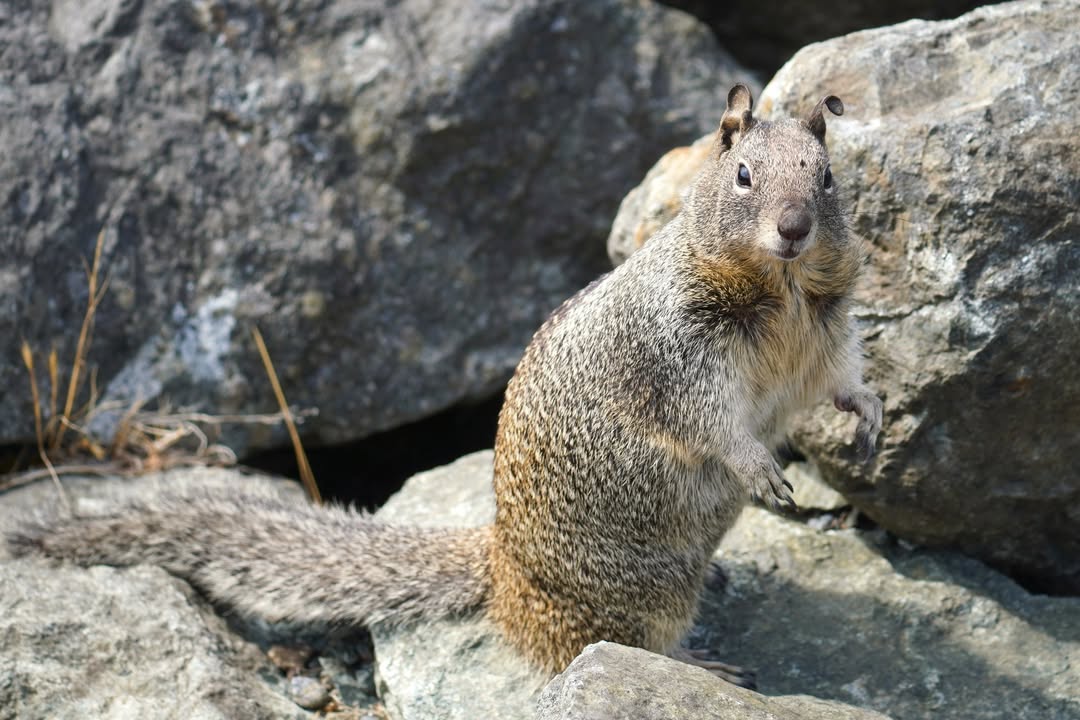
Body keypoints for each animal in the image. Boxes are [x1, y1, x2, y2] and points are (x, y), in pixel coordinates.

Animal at [7, 84, 881, 689]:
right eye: (743, 175)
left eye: (828, 177)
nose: (794, 228)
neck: (782, 290)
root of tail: (498, 570)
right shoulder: (679, 352)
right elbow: (714, 422)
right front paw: (761, 468)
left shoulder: (827, 338)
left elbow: (841, 379)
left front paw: (868, 415)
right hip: (653, 588)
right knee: (609, 645)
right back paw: (701, 663)